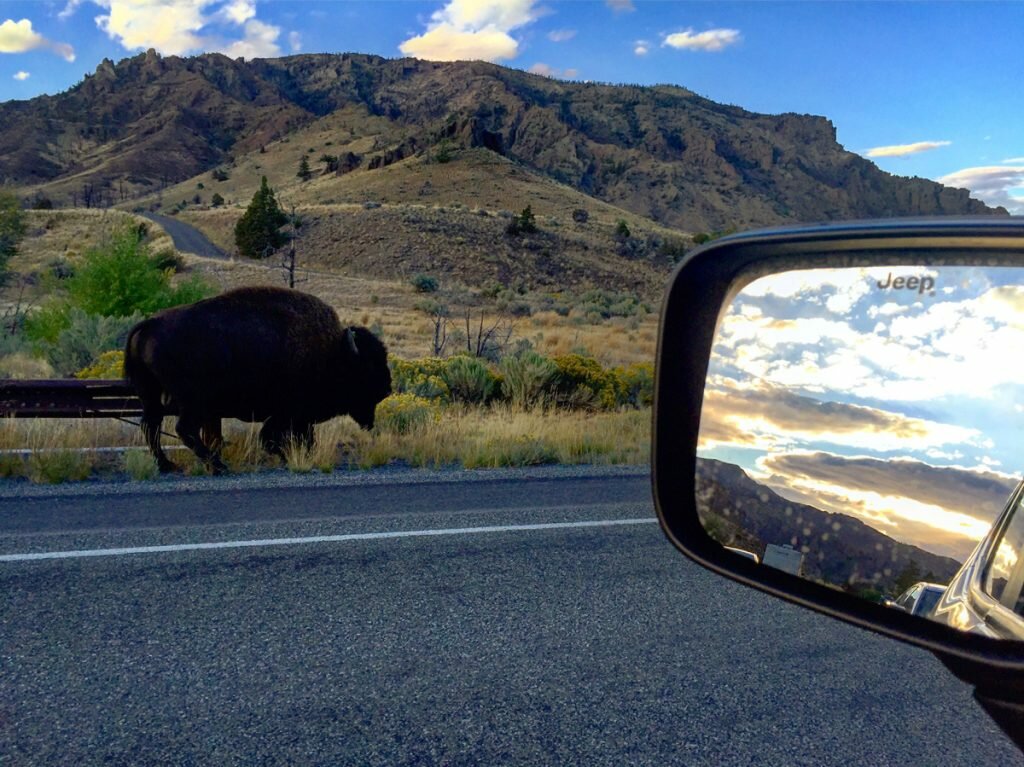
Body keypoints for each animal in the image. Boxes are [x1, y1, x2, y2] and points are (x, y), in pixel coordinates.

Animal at [124, 286, 391, 473]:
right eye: (369, 365)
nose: (387, 388)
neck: (333, 352)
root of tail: (149, 324)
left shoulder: (298, 418)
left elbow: (303, 439)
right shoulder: (286, 413)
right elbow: (272, 438)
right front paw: (286, 456)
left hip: (151, 395)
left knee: (150, 425)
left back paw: (166, 465)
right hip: (194, 402)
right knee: (184, 429)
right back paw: (218, 466)